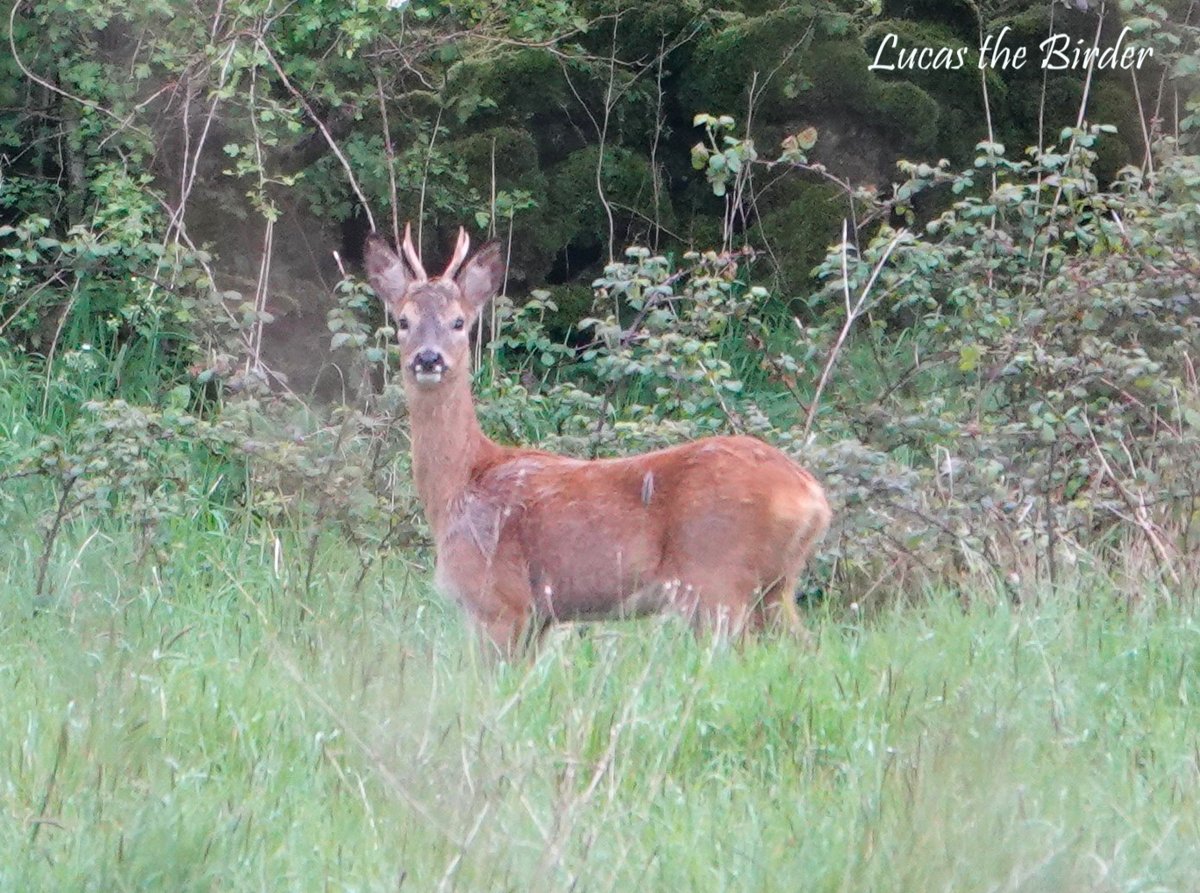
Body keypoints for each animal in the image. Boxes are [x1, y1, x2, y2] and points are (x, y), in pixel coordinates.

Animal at [364, 223, 835, 657]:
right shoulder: (540, 617)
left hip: (718, 577)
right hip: (774, 587)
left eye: (458, 322)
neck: (461, 484)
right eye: (403, 321)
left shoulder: (498, 598)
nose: (428, 358)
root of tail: (812, 498)